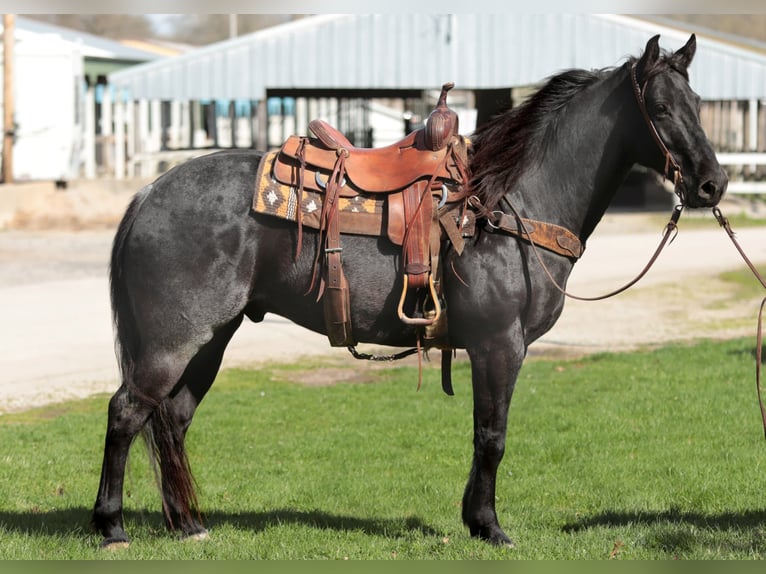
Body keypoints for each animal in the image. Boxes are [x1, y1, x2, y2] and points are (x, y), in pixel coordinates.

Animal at [93, 35, 728, 548]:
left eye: (699, 105)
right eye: (661, 108)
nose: (712, 184)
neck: (505, 205)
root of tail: (148, 192)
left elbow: (483, 434)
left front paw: (475, 520)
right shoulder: (500, 345)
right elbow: (492, 435)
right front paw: (489, 526)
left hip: (211, 339)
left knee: (172, 418)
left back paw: (188, 524)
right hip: (172, 341)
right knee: (127, 411)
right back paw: (112, 526)